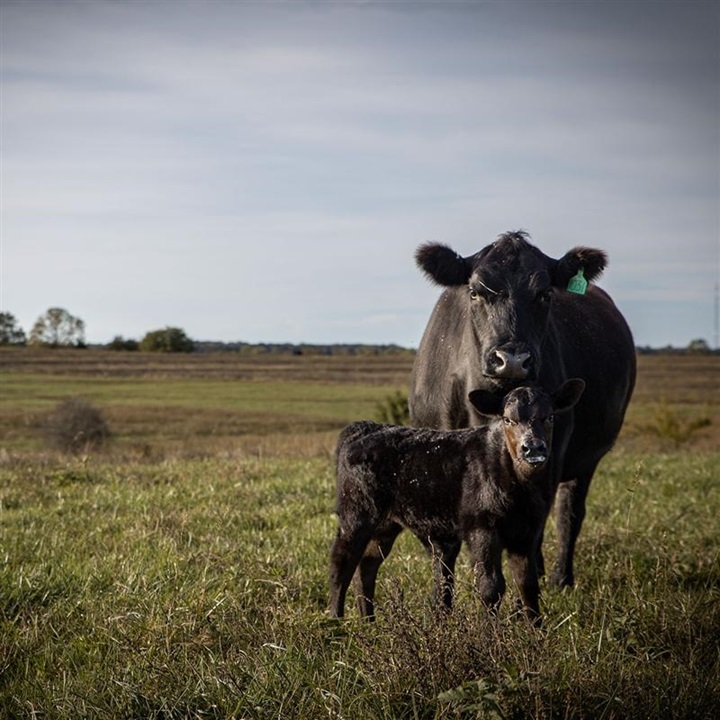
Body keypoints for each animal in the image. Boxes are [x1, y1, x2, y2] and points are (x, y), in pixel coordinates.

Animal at [329, 380, 585, 623]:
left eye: (549, 416)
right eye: (507, 419)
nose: (532, 448)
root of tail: (364, 428)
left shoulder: (526, 534)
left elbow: (527, 585)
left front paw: (536, 631)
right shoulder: (482, 529)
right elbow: (491, 586)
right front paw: (490, 632)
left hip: (386, 525)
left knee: (367, 565)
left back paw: (369, 622)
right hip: (356, 514)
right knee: (341, 563)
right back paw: (336, 622)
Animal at [409, 230, 636, 587]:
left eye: (545, 294)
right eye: (474, 292)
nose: (512, 359)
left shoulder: (552, 453)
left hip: (585, 458)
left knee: (568, 512)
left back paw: (559, 577)